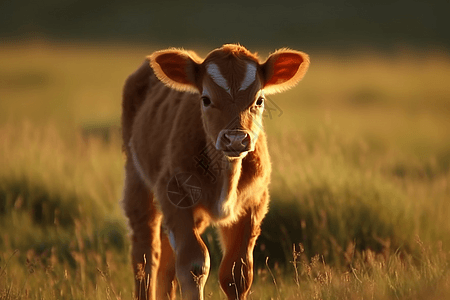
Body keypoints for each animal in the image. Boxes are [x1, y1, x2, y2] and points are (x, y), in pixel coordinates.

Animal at [121, 43, 308, 298]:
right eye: (206, 99)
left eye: (259, 100)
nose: (236, 139)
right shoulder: (174, 193)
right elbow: (194, 264)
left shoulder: (254, 202)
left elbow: (237, 273)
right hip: (137, 180)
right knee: (146, 253)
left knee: (167, 261)